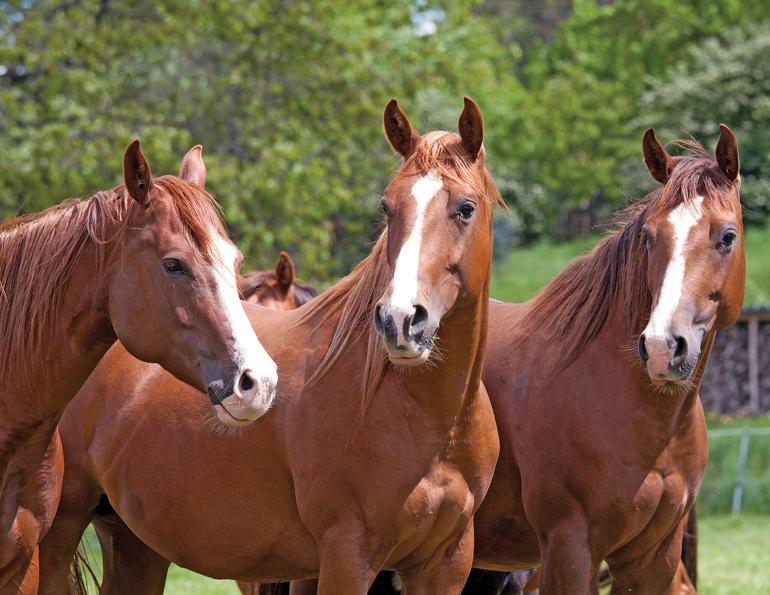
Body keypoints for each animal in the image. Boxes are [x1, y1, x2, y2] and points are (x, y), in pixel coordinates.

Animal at [39, 97, 503, 595]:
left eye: (466, 208)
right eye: (387, 206)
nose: (399, 320)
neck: (427, 418)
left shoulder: (445, 564)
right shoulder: (346, 556)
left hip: (134, 542)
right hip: (59, 532)